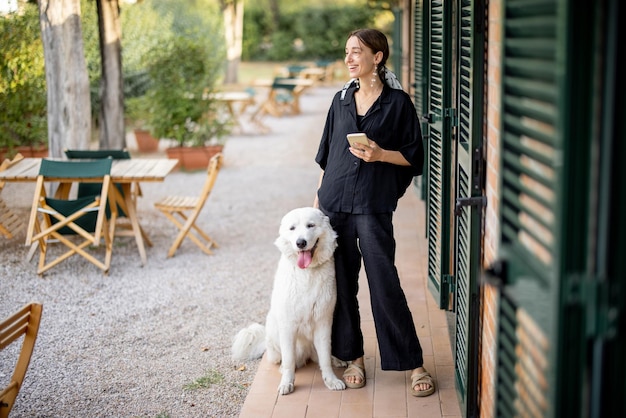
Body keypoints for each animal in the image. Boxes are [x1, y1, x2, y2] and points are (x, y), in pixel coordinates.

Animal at [232, 207, 344, 396]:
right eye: (292, 228)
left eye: (310, 225)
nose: (301, 243)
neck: (307, 272)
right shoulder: (288, 326)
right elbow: (290, 361)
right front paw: (287, 383)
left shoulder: (323, 323)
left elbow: (325, 359)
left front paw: (331, 380)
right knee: (285, 360)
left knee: (323, 356)